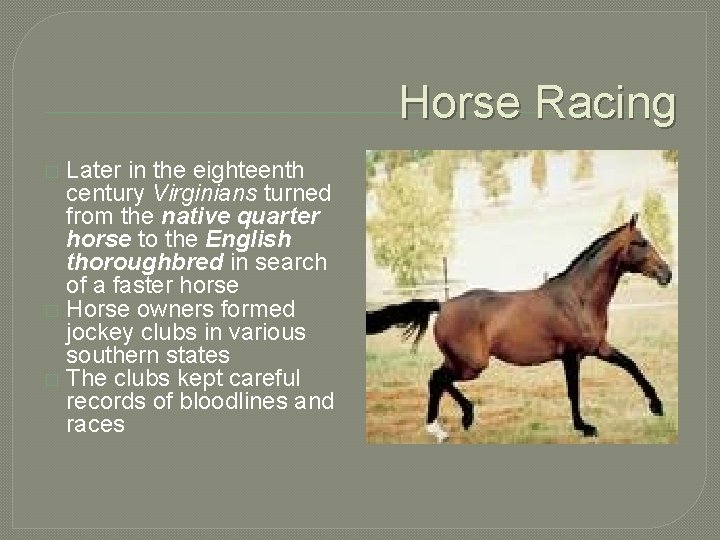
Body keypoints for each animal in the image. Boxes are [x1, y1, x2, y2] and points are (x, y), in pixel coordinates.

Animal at [366, 214, 672, 442]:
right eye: (640, 242)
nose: (667, 274)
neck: (577, 298)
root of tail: (442, 306)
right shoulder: (571, 355)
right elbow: (573, 391)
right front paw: (585, 427)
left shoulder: (599, 348)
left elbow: (631, 365)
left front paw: (657, 407)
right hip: (472, 364)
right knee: (437, 379)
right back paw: (446, 426)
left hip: (464, 362)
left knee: (439, 379)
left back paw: (462, 418)